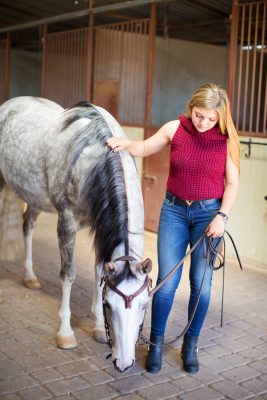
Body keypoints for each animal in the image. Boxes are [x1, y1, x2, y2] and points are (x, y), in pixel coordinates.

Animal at [0, 96, 152, 372]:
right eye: (110, 305)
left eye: (145, 305)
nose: (123, 363)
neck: (93, 158)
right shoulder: (67, 221)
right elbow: (68, 274)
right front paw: (66, 334)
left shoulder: (99, 227)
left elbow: (100, 271)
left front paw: (99, 329)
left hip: (35, 198)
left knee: (27, 226)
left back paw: (30, 277)